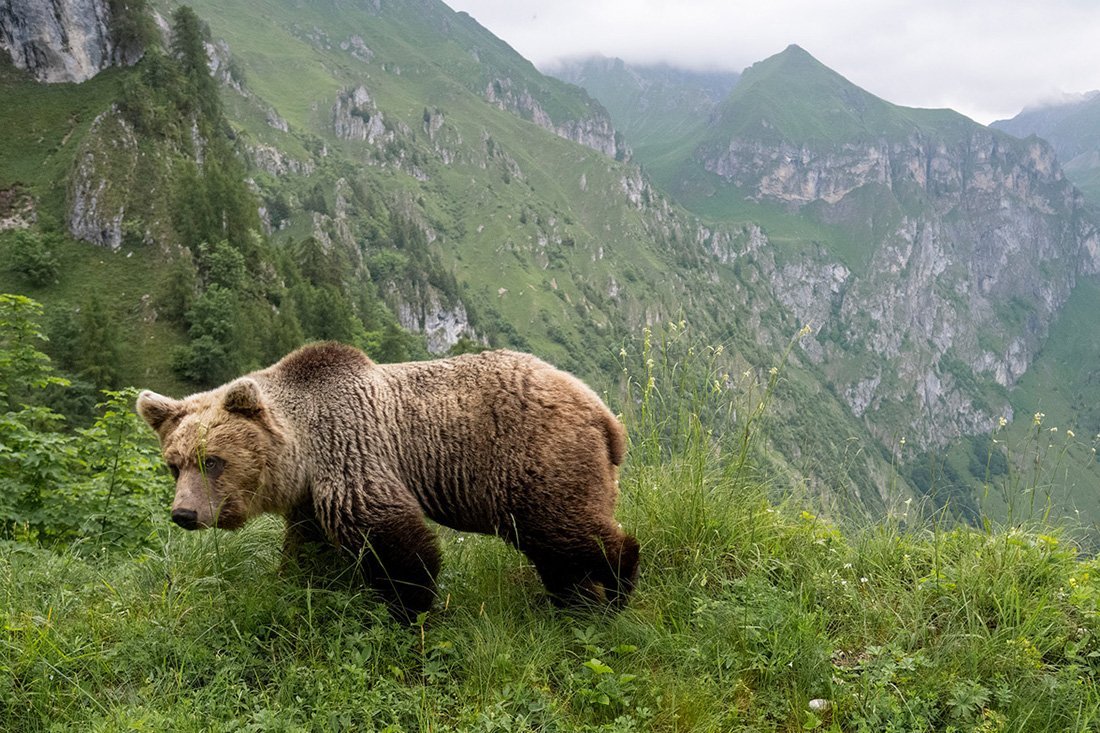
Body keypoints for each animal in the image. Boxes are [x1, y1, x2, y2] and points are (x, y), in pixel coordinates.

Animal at [136, 342, 639, 621]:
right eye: (174, 464)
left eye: (213, 460)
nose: (184, 513)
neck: (304, 451)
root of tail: (601, 410)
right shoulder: (310, 498)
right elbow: (308, 551)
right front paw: (298, 586)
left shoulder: (351, 451)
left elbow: (390, 537)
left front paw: (407, 606)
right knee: (552, 544)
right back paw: (572, 599)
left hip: (532, 457)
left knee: (565, 527)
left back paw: (617, 586)